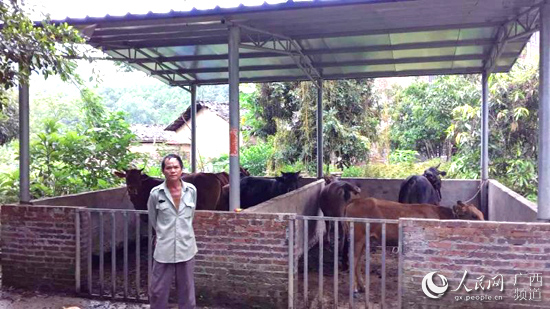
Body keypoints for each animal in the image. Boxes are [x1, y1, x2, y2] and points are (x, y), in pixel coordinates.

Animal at [348, 197, 486, 292]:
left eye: (481, 214)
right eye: (474, 215)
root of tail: (357, 200)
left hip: (365, 240)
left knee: (358, 261)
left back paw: (362, 286)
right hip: (358, 238)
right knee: (353, 260)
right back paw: (354, 288)